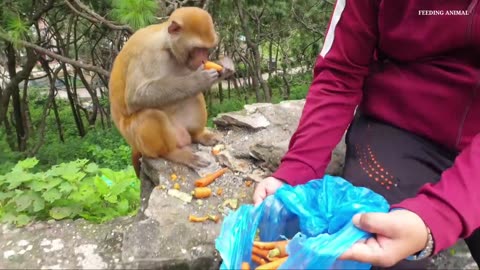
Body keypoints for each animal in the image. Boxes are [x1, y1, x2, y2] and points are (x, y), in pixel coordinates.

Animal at [109, 6, 236, 177]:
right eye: (198, 49)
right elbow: (136, 96)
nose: (203, 58)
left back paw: (198, 135)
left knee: (194, 96)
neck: (167, 46)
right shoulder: (148, 53)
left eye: (206, 49)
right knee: (151, 115)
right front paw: (198, 80)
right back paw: (172, 153)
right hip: (138, 137)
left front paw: (224, 67)